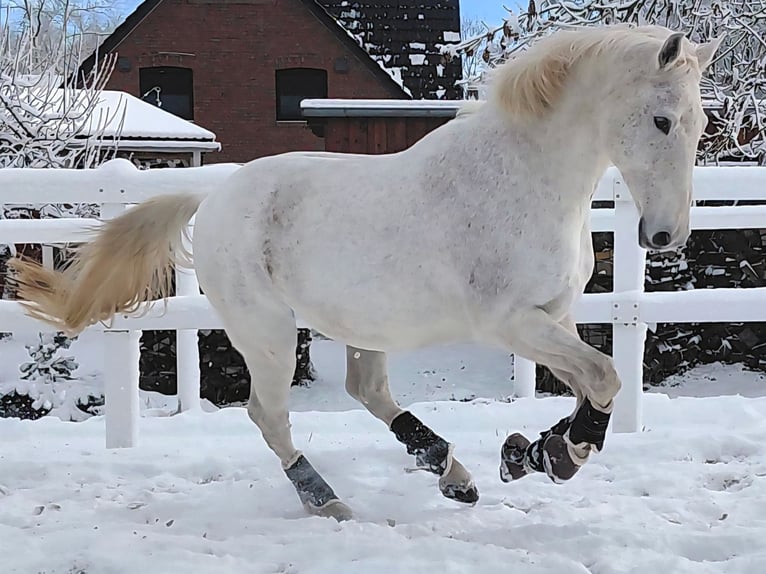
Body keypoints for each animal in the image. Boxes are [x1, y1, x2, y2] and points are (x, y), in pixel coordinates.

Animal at [10, 24, 724, 522]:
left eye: (701, 125)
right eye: (662, 120)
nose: (664, 236)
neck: (528, 178)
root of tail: (212, 197)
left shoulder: (556, 316)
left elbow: (591, 384)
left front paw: (530, 453)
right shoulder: (509, 323)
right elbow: (605, 377)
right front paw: (555, 456)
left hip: (364, 325)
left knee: (366, 390)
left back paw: (452, 472)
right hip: (267, 331)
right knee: (269, 414)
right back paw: (327, 499)